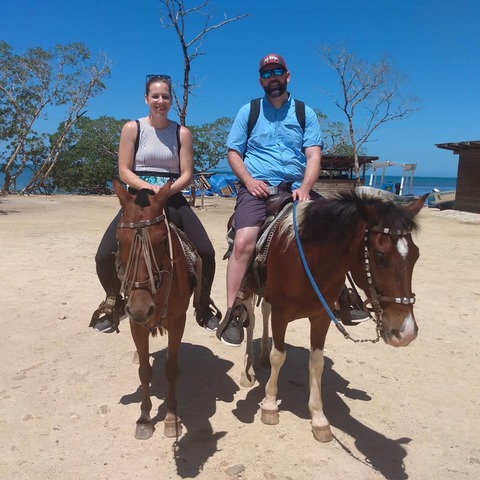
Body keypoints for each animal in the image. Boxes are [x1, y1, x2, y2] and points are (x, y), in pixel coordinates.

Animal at [113, 179, 194, 438]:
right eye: (120, 239)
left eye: (161, 240)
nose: (141, 309)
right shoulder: (135, 324)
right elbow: (145, 372)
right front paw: (145, 418)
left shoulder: (178, 320)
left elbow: (170, 369)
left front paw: (171, 417)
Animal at [238, 190, 426, 442]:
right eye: (379, 256)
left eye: (416, 255)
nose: (405, 332)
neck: (305, 261)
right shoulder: (281, 313)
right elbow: (280, 356)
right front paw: (269, 405)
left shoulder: (322, 316)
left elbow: (316, 362)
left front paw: (319, 419)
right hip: (249, 291)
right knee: (252, 322)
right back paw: (247, 371)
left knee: (264, 313)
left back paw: (263, 356)